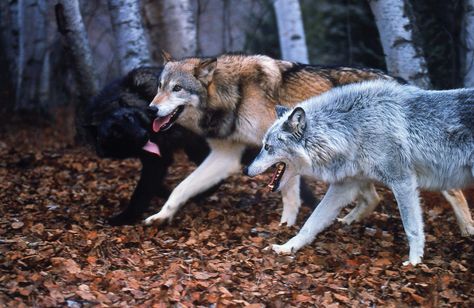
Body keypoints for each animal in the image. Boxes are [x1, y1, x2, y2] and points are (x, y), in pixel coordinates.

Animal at [84, 67, 210, 225]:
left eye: (129, 118)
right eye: (116, 133)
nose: (143, 135)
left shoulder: (156, 161)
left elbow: (141, 192)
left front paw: (124, 218)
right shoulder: (154, 157)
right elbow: (152, 185)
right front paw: (165, 191)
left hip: (194, 146)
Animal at [144, 53, 474, 236]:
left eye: (177, 88)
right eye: (160, 87)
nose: (150, 109)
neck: (235, 93)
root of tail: (399, 81)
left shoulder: (283, 152)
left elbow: (289, 195)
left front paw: (284, 226)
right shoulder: (226, 156)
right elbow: (181, 188)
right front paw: (161, 216)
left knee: (452, 190)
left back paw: (467, 229)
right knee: (372, 198)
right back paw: (343, 221)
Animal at [246, 79, 474, 264]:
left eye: (267, 147)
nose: (247, 170)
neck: (351, 129)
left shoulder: (403, 181)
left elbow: (412, 227)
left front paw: (414, 262)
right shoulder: (344, 186)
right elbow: (311, 223)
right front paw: (287, 247)